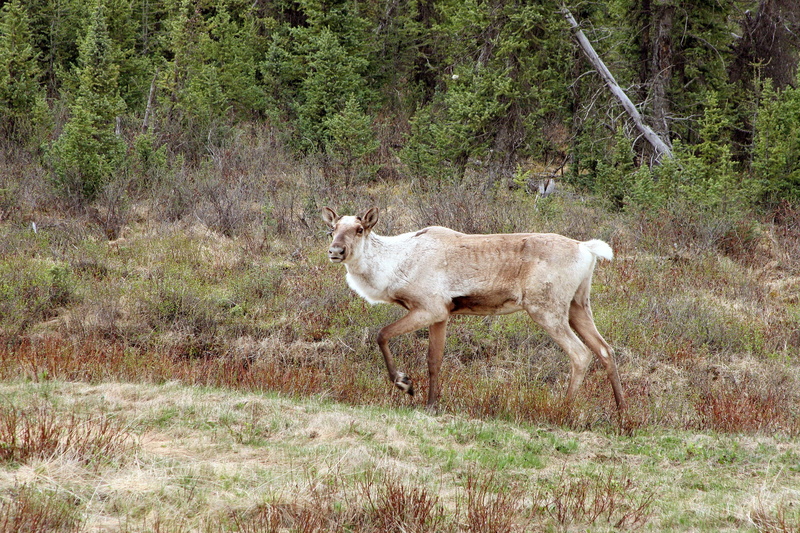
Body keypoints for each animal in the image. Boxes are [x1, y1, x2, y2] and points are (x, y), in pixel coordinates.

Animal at [321, 206, 625, 414]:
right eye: (332, 229)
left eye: (359, 229)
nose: (335, 251)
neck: (393, 266)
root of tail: (587, 249)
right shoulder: (442, 315)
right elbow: (434, 360)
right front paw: (431, 404)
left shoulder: (429, 308)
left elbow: (382, 334)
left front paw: (405, 384)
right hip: (578, 304)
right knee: (605, 349)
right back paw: (622, 411)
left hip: (546, 308)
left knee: (581, 353)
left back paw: (563, 410)